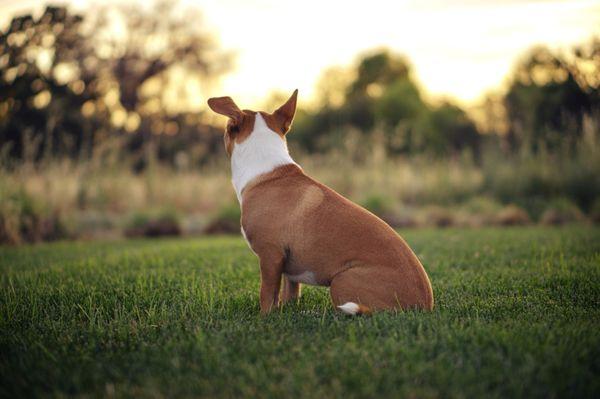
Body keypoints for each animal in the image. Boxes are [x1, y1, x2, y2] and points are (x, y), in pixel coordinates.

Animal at [209, 90, 434, 316]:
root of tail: (423, 305)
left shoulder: (270, 256)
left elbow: (267, 295)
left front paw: (264, 317)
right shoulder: (288, 266)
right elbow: (289, 293)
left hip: (341, 281)